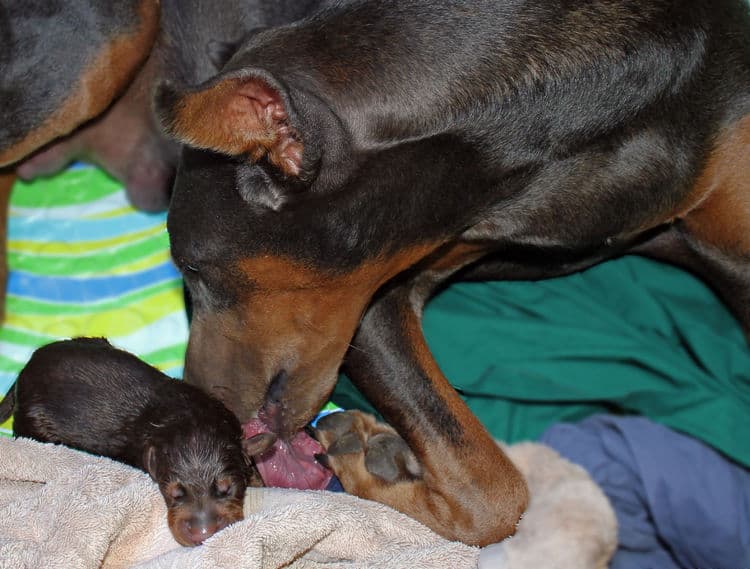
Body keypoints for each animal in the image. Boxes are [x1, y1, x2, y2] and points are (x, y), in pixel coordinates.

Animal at [0, 338, 264, 544]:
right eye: (174, 493)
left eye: (227, 488)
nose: (203, 533)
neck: (187, 412)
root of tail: (23, 374)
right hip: (34, 425)